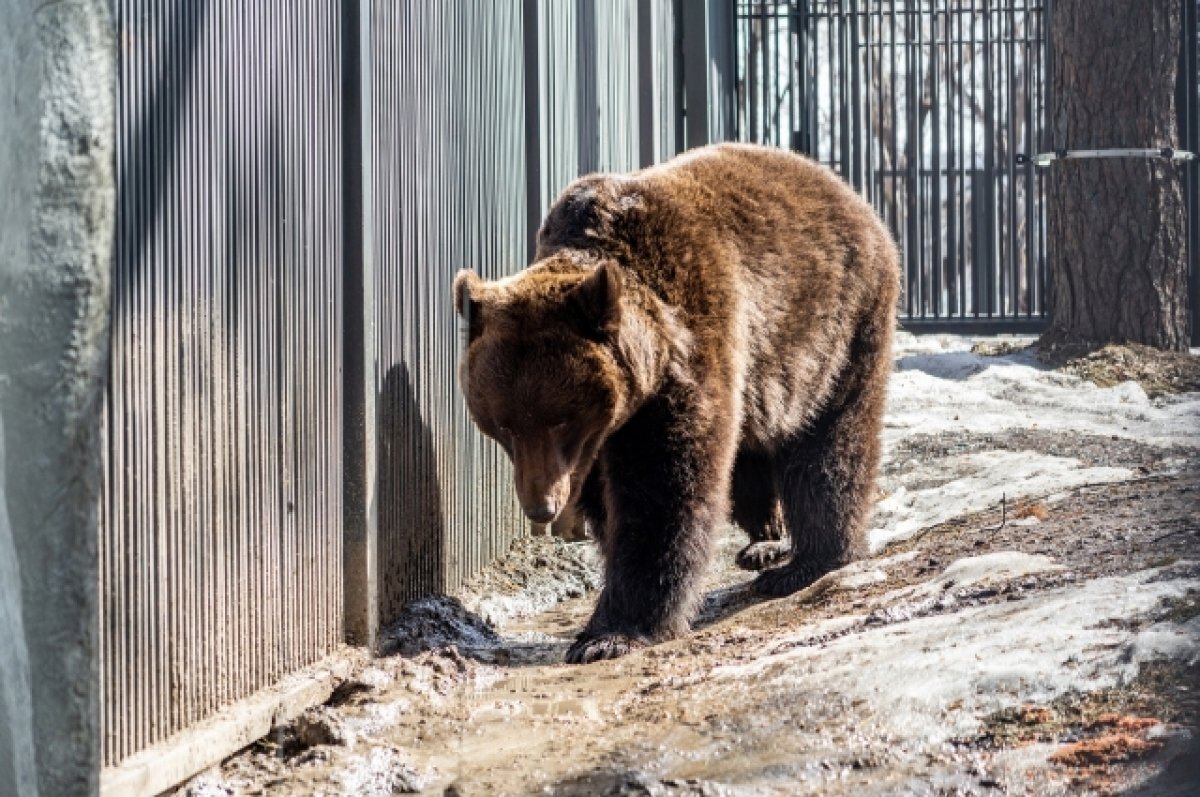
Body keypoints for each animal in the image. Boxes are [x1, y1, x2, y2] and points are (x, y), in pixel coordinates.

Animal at [453, 144, 897, 667]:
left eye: (560, 419)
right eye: (502, 426)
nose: (541, 507)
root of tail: (845, 189)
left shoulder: (689, 354)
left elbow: (663, 491)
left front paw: (610, 633)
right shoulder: (602, 436)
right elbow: (611, 502)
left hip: (838, 329)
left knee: (830, 443)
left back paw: (810, 560)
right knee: (754, 449)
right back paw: (765, 540)